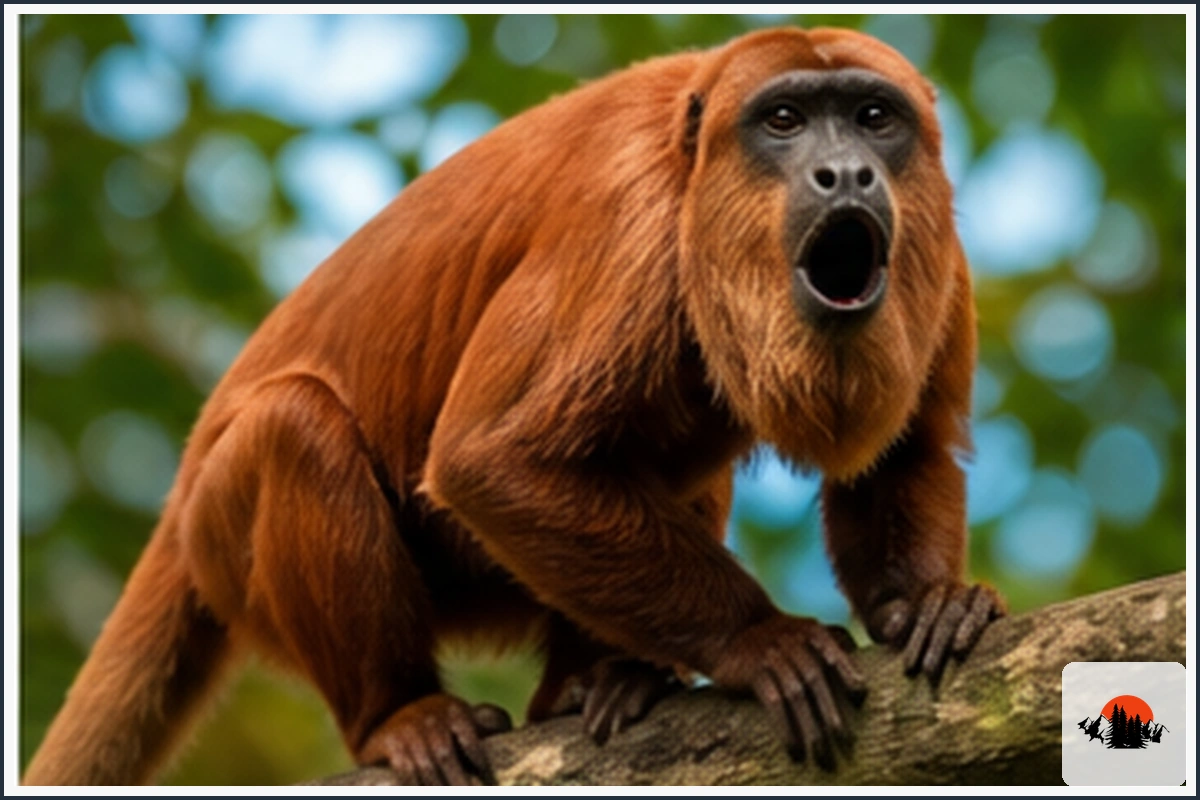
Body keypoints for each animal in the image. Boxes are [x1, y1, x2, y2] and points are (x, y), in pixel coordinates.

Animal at [24, 26, 1005, 785]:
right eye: (786, 121)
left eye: (874, 119)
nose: (846, 174)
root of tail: (181, 494)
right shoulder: (627, 223)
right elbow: (491, 459)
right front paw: (759, 639)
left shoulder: (942, 245)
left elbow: (914, 446)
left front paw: (921, 602)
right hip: (233, 550)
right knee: (291, 427)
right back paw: (400, 716)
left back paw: (595, 684)